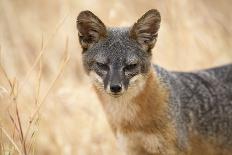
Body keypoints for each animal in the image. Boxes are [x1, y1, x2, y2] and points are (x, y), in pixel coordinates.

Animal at [76, 9, 232, 154]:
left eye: (131, 66)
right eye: (102, 65)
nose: (115, 87)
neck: (130, 122)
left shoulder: (171, 150)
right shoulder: (131, 148)